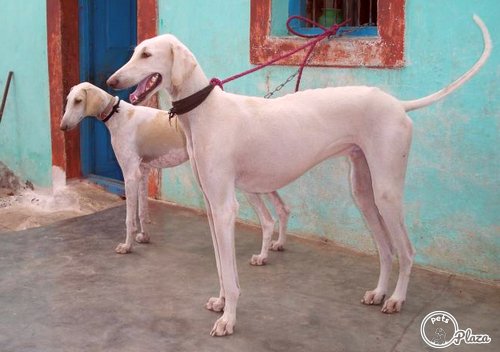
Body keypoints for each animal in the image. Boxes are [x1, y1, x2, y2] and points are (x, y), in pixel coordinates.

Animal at [60, 82, 292, 262]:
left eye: (78, 101)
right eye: (68, 100)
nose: (62, 127)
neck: (119, 115)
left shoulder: (130, 174)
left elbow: (129, 218)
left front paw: (127, 246)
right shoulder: (143, 172)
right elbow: (143, 212)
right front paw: (144, 236)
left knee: (268, 220)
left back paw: (262, 256)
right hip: (262, 179)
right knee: (283, 208)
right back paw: (279, 244)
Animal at [106, 15, 492, 336]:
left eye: (147, 54)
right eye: (134, 52)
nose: (111, 80)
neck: (205, 110)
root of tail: (398, 104)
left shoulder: (225, 208)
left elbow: (229, 273)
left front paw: (228, 319)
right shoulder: (213, 207)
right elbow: (221, 266)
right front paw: (221, 302)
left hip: (386, 191)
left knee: (407, 251)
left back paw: (396, 298)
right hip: (362, 192)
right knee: (385, 248)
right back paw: (380, 293)